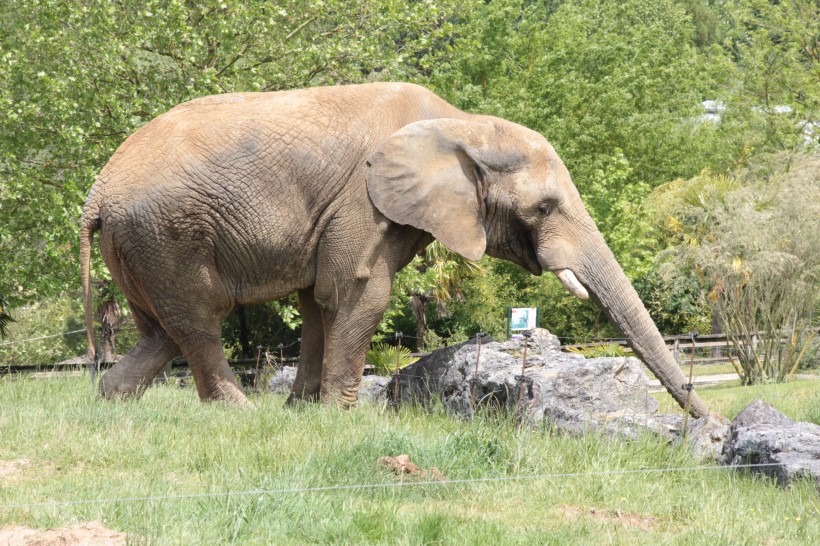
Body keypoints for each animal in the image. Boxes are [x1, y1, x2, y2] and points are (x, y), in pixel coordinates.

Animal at [81, 81, 712, 414]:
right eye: (543, 209)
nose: (707, 429)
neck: (461, 124)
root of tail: (96, 192)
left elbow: (317, 300)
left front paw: (303, 412)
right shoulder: (363, 201)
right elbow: (356, 291)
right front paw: (341, 418)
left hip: (138, 243)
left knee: (162, 330)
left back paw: (111, 402)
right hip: (167, 234)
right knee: (198, 321)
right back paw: (239, 413)